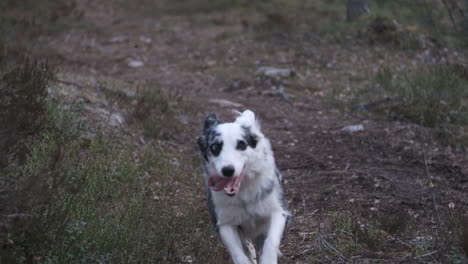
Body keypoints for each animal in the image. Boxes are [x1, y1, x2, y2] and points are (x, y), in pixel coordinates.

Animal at [197, 109, 288, 264]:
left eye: (241, 145)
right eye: (215, 147)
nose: (228, 170)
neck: (243, 193)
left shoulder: (278, 210)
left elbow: (271, 241)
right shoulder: (224, 222)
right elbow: (238, 253)